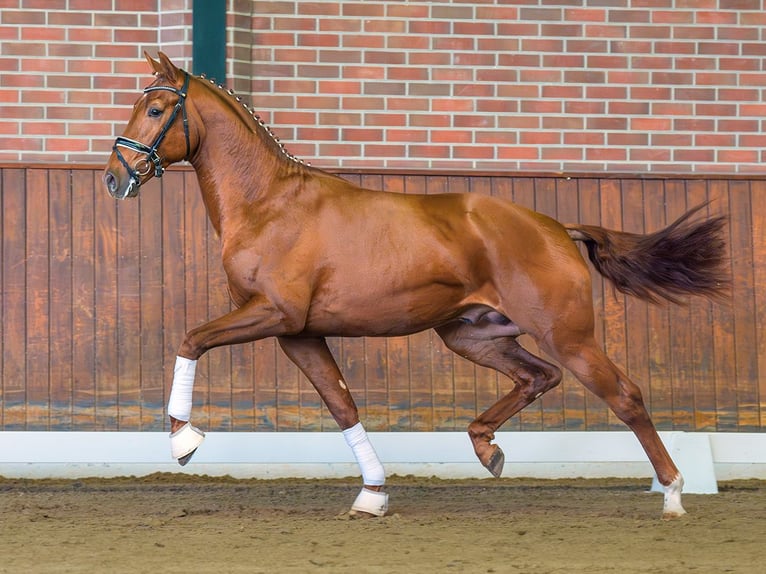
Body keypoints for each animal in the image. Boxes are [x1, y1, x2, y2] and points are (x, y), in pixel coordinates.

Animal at [105, 55, 728, 520]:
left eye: (156, 108)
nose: (115, 177)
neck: (269, 204)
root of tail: (556, 228)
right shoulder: (299, 333)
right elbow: (341, 404)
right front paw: (373, 494)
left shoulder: (274, 314)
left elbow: (191, 338)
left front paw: (183, 440)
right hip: (473, 336)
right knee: (538, 377)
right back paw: (487, 447)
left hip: (567, 335)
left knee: (625, 396)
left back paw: (673, 494)